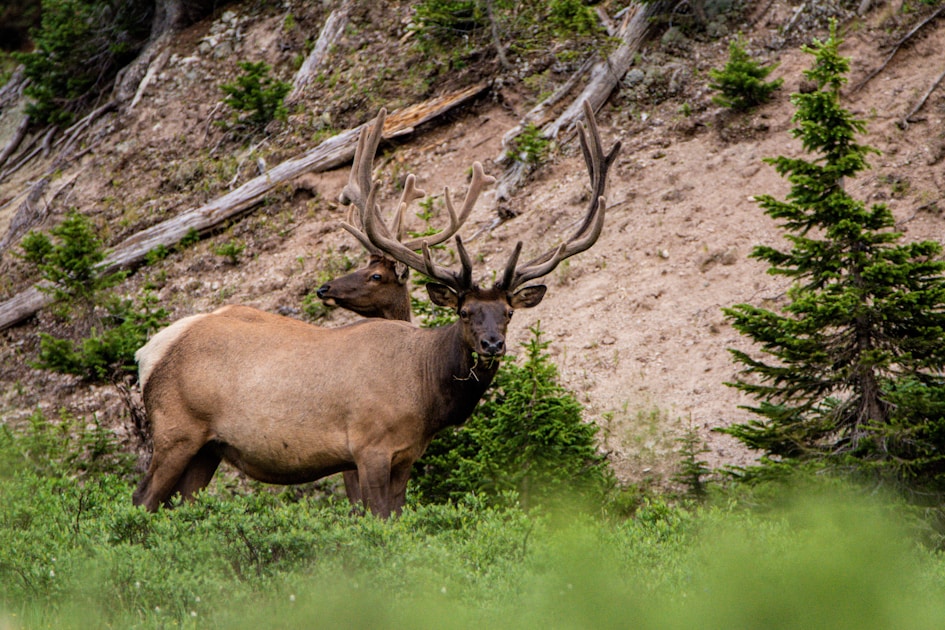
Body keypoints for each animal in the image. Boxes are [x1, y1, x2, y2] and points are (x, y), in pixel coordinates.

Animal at [132, 101, 620, 517]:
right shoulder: (368, 448)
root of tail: (147, 353)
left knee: (178, 504)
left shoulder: (407, 455)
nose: (492, 344)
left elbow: (399, 518)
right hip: (175, 429)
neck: (424, 390)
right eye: (464, 312)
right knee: (143, 498)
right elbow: (377, 519)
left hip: (208, 448)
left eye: (508, 313)